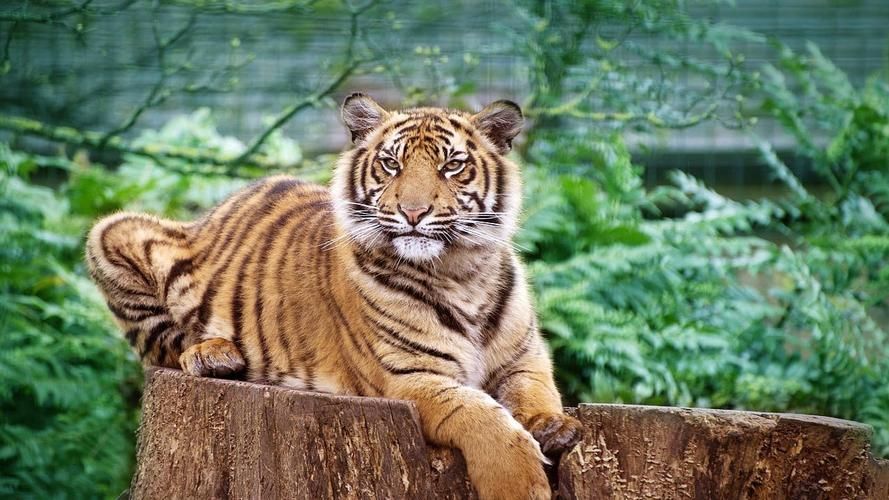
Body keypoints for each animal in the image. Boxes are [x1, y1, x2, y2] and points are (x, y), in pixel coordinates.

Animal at [85, 93, 582, 500]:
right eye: (392, 164)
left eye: (451, 166)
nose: (413, 212)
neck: (461, 272)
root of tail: (214, 210)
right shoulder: (408, 378)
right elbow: (485, 418)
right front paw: (521, 484)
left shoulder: (524, 358)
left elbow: (536, 393)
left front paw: (555, 427)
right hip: (113, 230)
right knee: (165, 346)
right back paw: (214, 356)